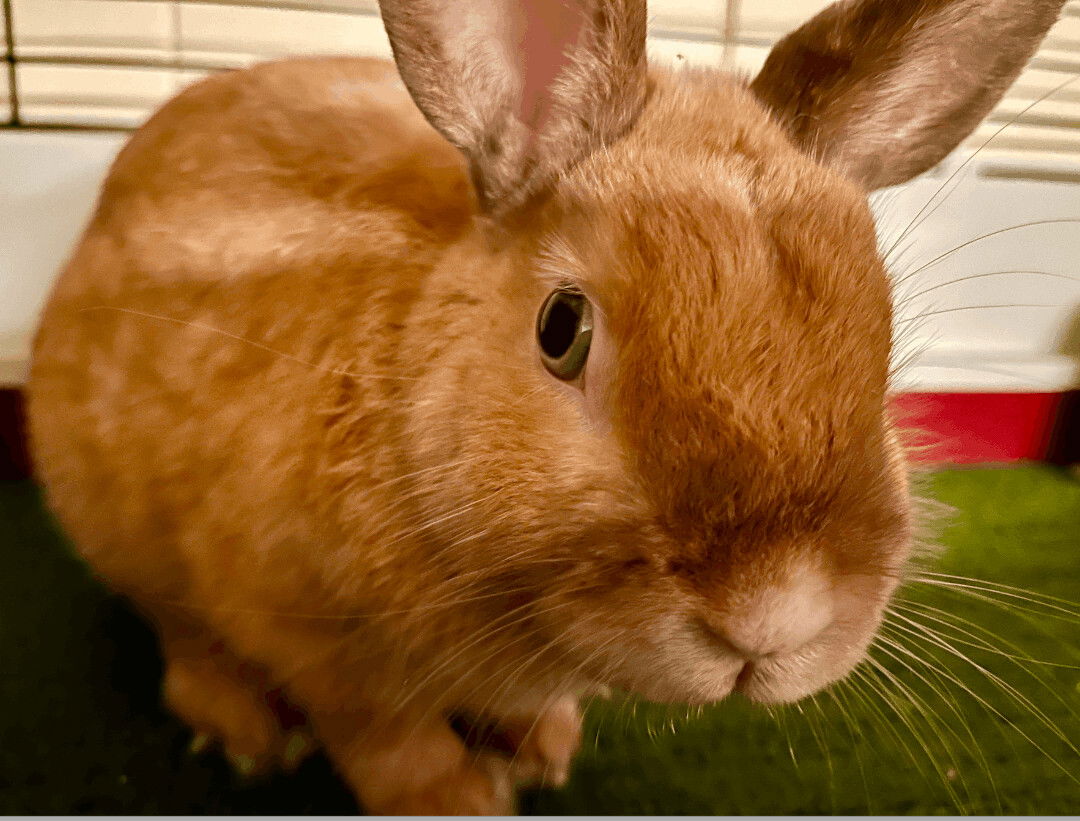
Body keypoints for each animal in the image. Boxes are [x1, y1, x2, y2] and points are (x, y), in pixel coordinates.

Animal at [23, 0, 1062, 812]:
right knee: (182, 633)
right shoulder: (329, 656)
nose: (776, 616)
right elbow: (389, 743)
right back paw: (243, 729)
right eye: (561, 328)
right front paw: (460, 803)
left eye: (881, 339)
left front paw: (545, 752)